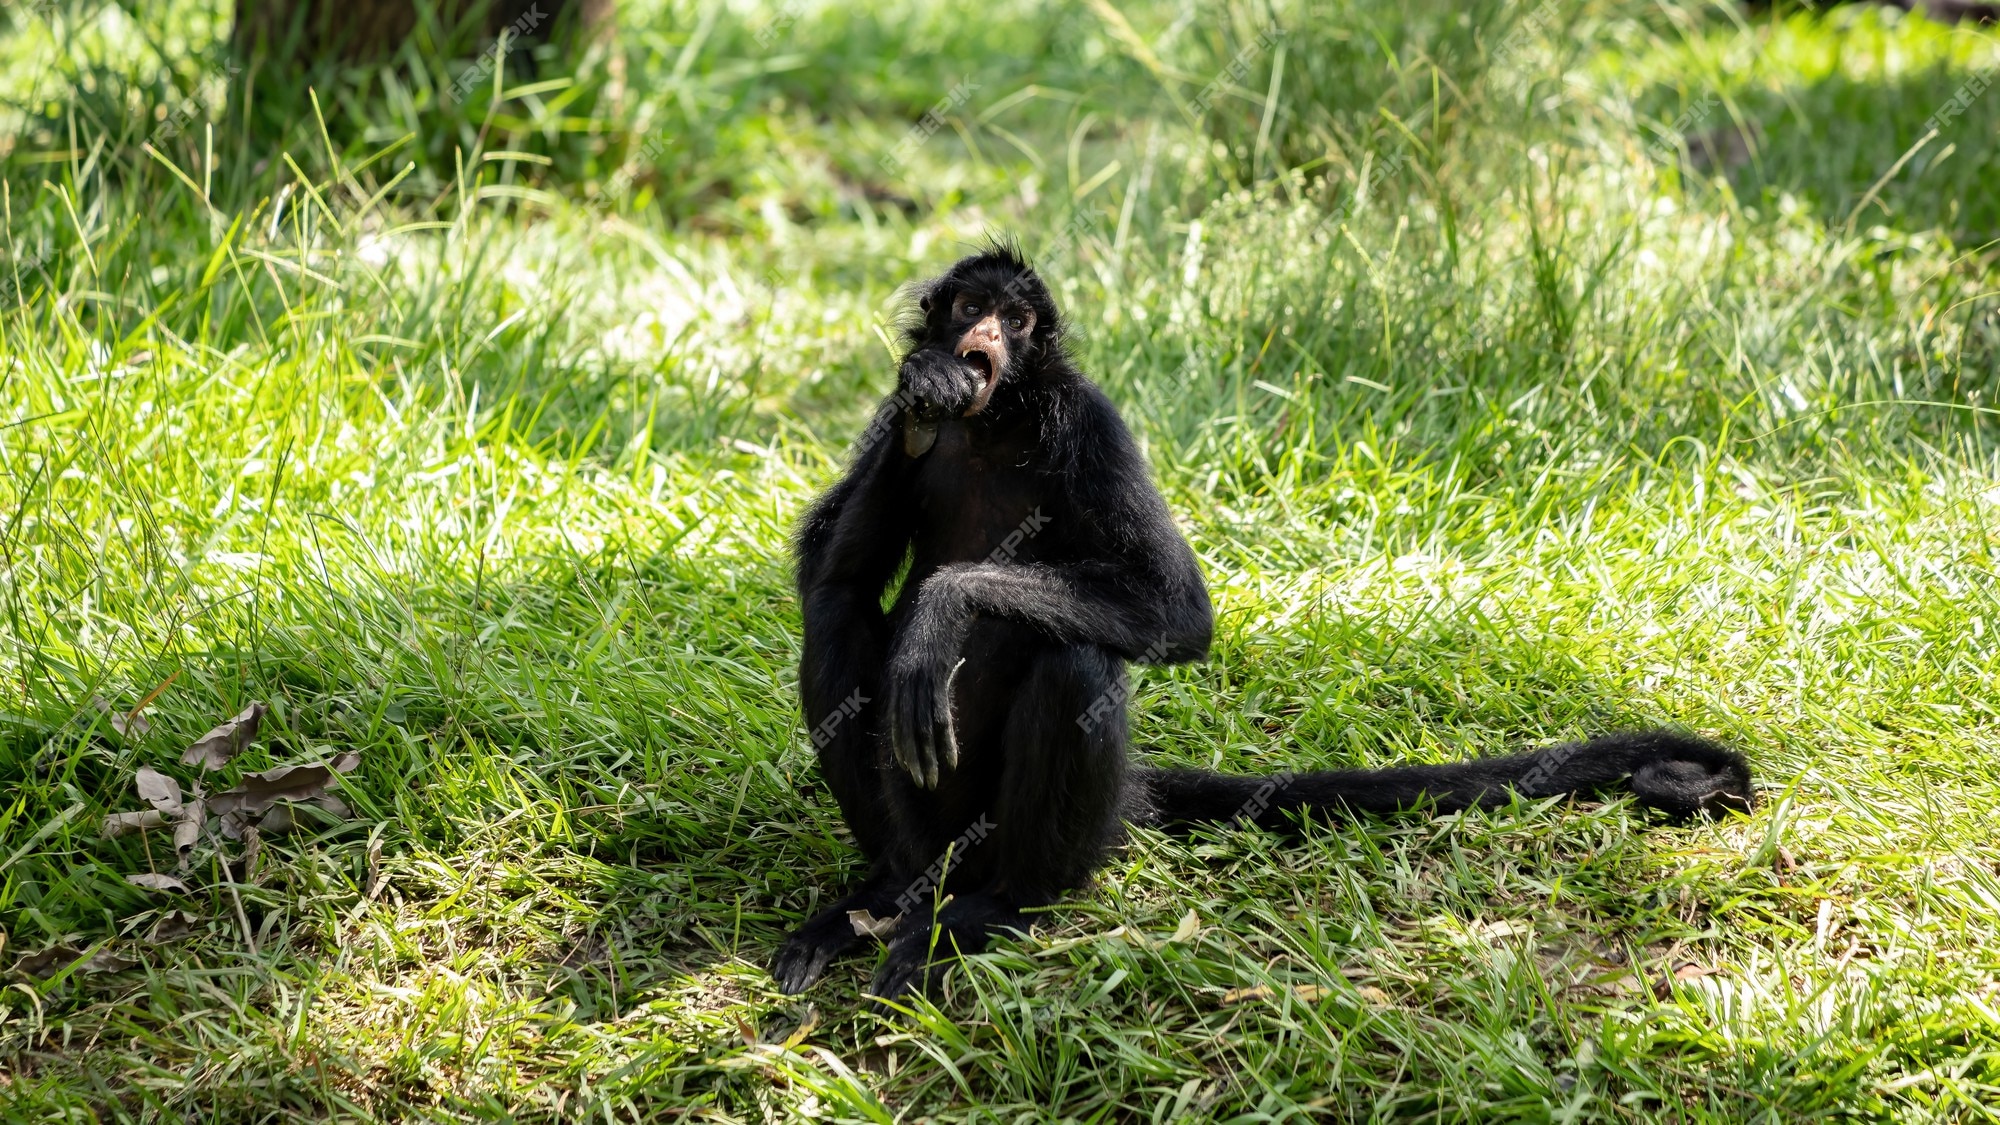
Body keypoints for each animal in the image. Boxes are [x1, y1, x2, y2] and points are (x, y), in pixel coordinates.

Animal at [772, 245, 1744, 996]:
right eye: (971, 308)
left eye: (1015, 319)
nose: (979, 343)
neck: (989, 425)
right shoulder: (895, 417)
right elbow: (830, 568)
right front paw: (926, 390)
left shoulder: (1087, 417)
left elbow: (1177, 610)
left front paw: (946, 607)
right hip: (925, 821)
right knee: (839, 615)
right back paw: (886, 895)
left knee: (1074, 659)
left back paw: (999, 906)